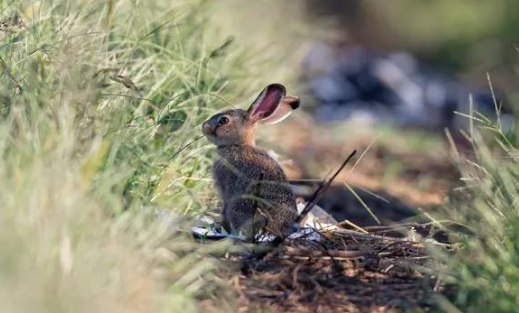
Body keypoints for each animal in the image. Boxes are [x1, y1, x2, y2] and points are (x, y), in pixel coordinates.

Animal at [203, 83, 300, 239]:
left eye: (223, 120)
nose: (204, 126)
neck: (238, 145)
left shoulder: (226, 189)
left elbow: (224, 208)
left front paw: (221, 227)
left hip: (240, 206)